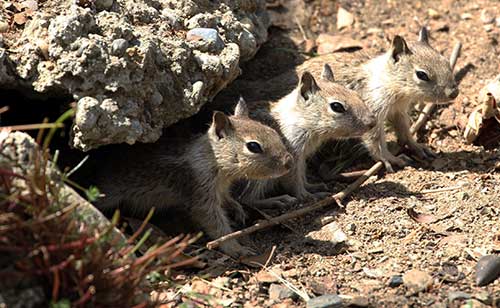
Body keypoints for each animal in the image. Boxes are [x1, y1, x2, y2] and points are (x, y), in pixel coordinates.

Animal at [93, 100, 292, 256]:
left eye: (273, 132)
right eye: (253, 146)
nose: (288, 162)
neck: (214, 161)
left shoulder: (221, 189)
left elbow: (228, 199)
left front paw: (237, 209)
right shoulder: (201, 193)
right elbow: (216, 225)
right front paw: (236, 248)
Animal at [238, 68, 376, 206]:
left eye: (356, 94)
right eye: (336, 106)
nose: (372, 122)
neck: (299, 119)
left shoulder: (302, 158)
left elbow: (302, 176)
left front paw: (312, 187)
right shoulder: (292, 158)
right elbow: (294, 182)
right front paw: (307, 196)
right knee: (247, 199)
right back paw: (276, 200)